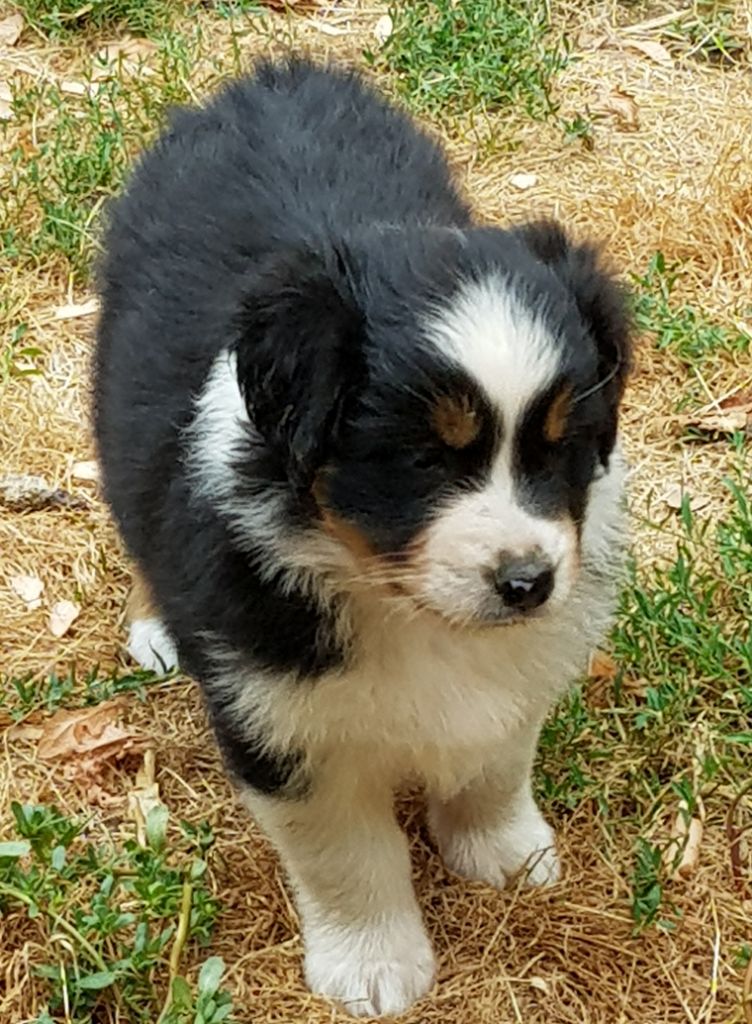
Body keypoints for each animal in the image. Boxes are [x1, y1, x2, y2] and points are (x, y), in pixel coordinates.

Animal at [93, 58, 631, 1017]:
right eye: (422, 457)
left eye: (561, 445)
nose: (527, 583)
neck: (390, 594)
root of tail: (274, 76)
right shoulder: (280, 721)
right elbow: (348, 853)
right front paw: (375, 968)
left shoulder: (520, 666)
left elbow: (496, 761)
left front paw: (502, 853)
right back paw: (157, 622)